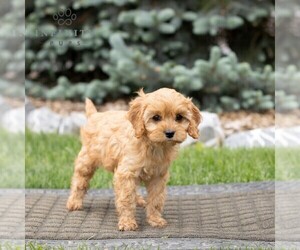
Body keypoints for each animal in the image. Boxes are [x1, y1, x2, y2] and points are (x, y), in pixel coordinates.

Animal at [66, 87, 202, 230]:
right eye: (156, 117)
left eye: (179, 117)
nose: (170, 133)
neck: (153, 145)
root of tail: (95, 115)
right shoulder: (126, 173)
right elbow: (126, 198)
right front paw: (127, 222)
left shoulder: (158, 176)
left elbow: (156, 199)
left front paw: (155, 219)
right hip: (87, 160)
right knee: (80, 180)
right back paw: (74, 202)